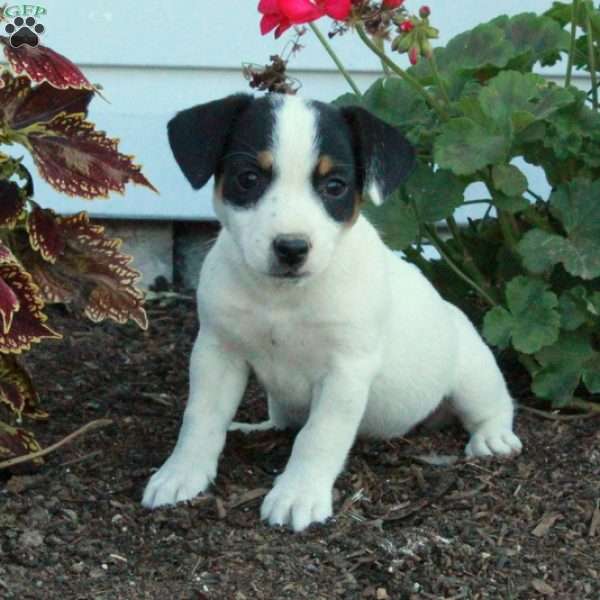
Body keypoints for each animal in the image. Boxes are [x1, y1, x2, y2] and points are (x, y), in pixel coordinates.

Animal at [143, 96, 524, 532]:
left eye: (335, 186)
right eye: (248, 178)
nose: (291, 248)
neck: (283, 299)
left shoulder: (345, 372)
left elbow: (318, 436)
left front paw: (298, 494)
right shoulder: (217, 353)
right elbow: (201, 418)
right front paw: (181, 474)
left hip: (473, 374)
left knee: (494, 405)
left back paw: (493, 437)